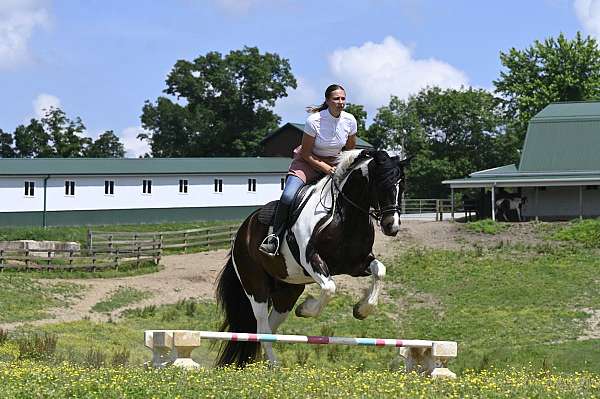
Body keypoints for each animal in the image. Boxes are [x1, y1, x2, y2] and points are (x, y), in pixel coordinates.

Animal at [216, 150, 408, 368]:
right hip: (256, 286)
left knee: (271, 329)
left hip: (287, 292)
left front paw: (362, 309)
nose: (392, 226)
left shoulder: (356, 264)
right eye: (382, 184)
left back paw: (269, 365)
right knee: (262, 330)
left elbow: (379, 270)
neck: (345, 216)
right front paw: (305, 309)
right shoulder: (311, 260)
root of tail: (242, 231)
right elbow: (329, 288)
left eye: (402, 186)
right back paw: (275, 366)